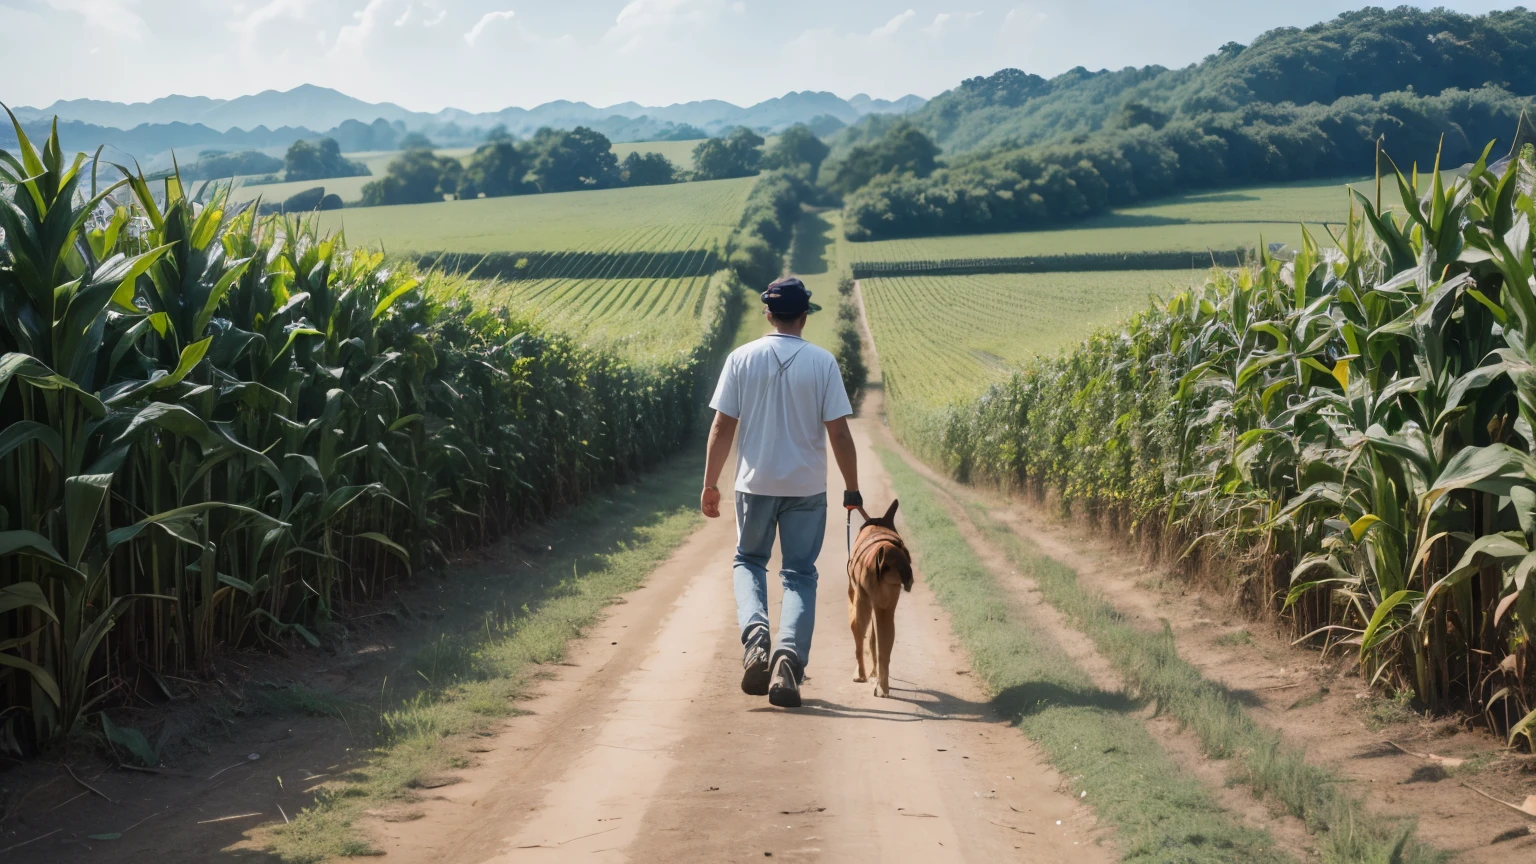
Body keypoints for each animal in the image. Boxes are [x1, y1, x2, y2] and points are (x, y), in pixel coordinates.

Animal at [854, 501, 909, 694]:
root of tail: (886, 554)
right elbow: (874, 641)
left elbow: (865, 641)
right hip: (886, 609)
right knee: (884, 650)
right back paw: (882, 685)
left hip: (863, 607)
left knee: (859, 640)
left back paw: (861, 675)